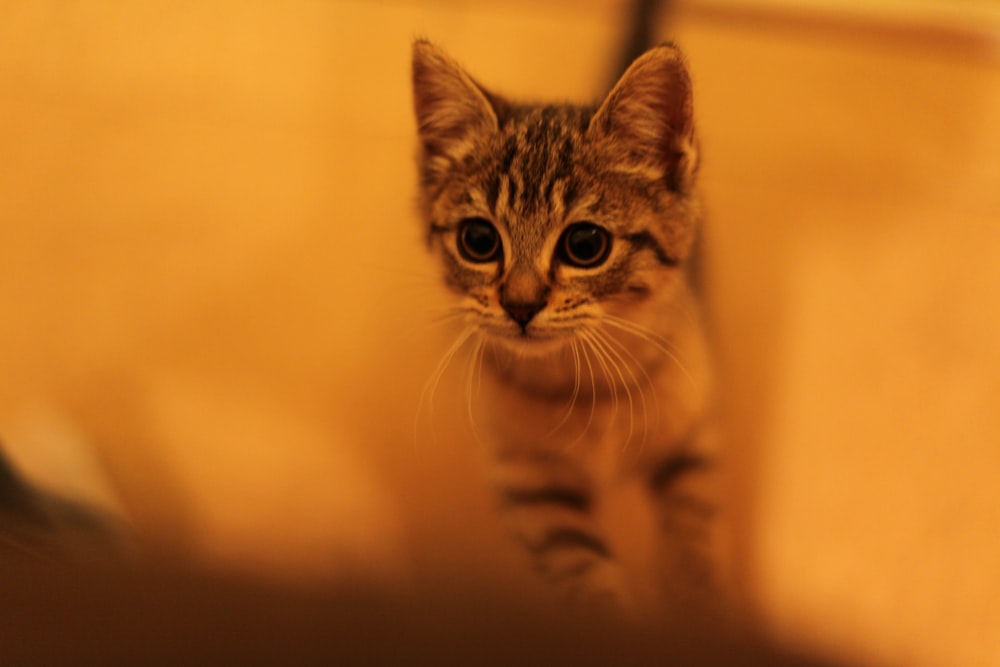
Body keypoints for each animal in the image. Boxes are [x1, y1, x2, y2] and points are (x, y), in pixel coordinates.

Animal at [410, 40, 724, 616]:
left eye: (585, 245)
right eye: (478, 240)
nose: (520, 305)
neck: (587, 387)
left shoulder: (691, 439)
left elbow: (695, 542)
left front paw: (703, 608)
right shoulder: (533, 486)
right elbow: (584, 573)